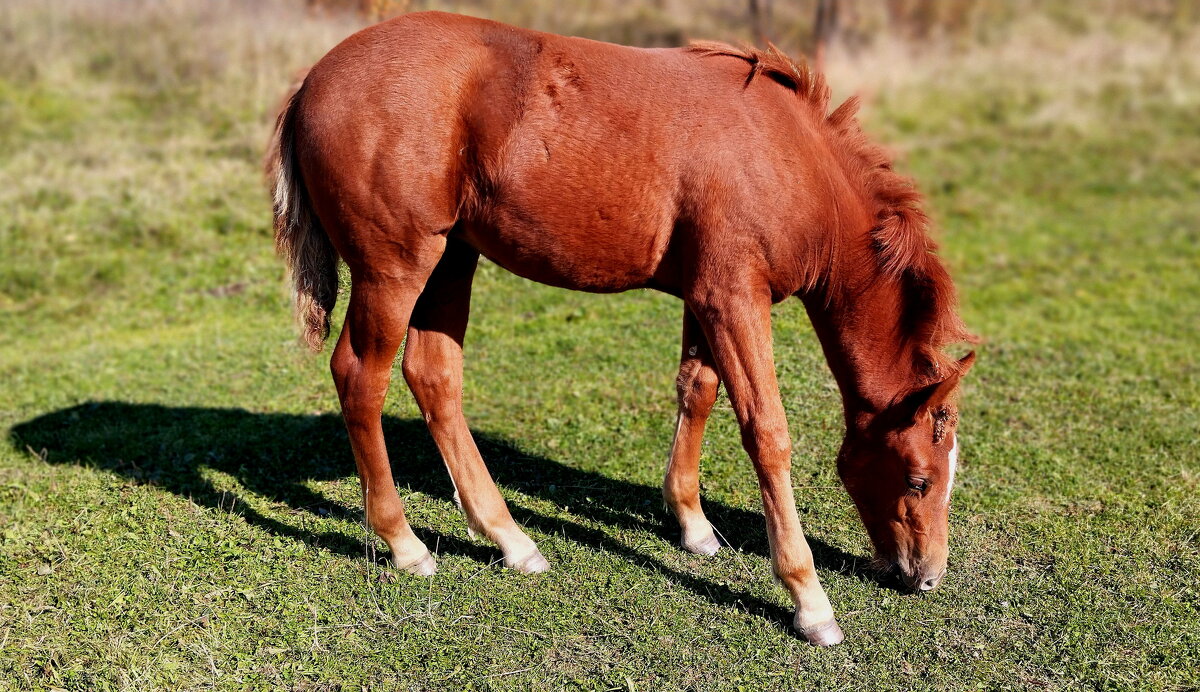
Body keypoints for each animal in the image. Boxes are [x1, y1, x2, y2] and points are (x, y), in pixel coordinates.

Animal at [270, 12, 974, 647]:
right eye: (919, 479)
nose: (926, 577)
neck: (791, 159)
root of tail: (314, 80)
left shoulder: (707, 296)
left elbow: (698, 390)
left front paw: (692, 525)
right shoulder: (735, 298)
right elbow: (767, 432)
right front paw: (808, 598)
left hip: (451, 259)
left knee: (433, 376)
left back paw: (510, 539)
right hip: (395, 268)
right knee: (361, 377)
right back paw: (404, 543)